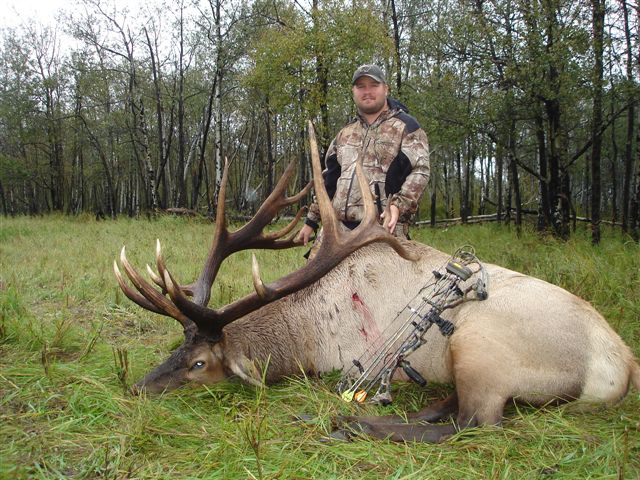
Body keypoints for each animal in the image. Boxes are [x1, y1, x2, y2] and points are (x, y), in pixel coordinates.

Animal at [114, 122, 639, 443]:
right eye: (176, 349)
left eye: (199, 364)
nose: (137, 389)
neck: (302, 339)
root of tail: (621, 366)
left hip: (477, 342)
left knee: (476, 422)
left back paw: (353, 421)